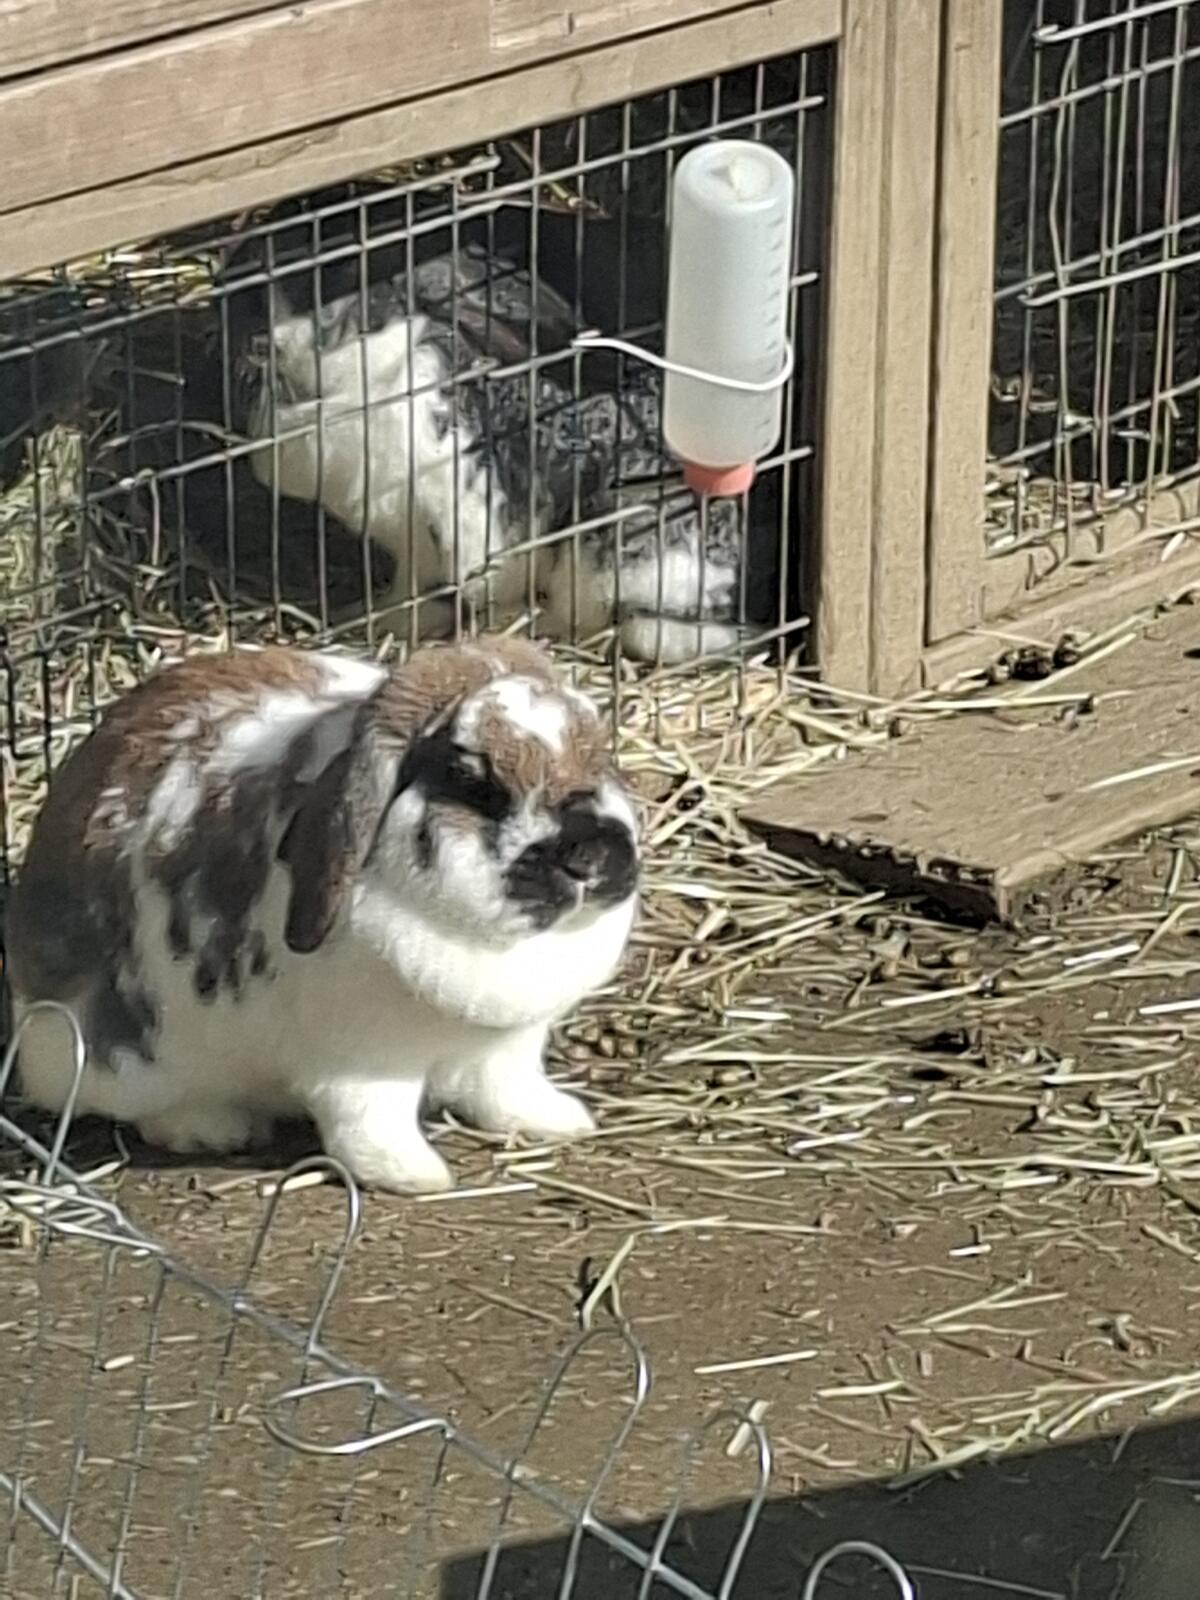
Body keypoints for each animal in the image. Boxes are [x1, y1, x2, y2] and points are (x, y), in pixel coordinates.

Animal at [7, 635, 639, 1193]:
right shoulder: (361, 1062)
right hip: (127, 1054)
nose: (590, 854)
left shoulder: (507, 1048)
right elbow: (370, 1120)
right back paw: (213, 1129)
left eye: (600, 755)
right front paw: (411, 1174)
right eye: (472, 782)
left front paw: (556, 1120)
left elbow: (503, 1090)